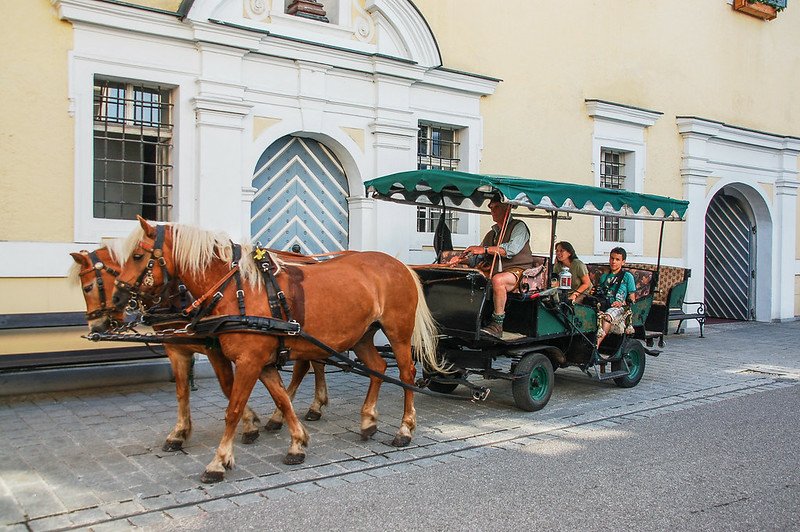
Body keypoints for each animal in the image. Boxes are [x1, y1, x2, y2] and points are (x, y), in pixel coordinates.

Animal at [112, 218, 440, 484]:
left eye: (138, 256)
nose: (118, 298)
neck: (238, 289)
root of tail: (400, 265)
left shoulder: (248, 361)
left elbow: (233, 408)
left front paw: (219, 461)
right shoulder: (262, 362)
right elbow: (281, 399)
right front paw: (296, 442)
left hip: (398, 334)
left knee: (406, 373)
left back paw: (404, 429)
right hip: (361, 336)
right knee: (378, 368)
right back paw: (368, 420)